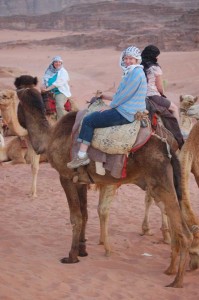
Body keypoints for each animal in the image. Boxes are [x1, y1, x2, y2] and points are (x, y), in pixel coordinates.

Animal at [14, 74, 194, 288]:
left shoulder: (65, 177)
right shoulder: (80, 180)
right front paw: (82, 251)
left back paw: (177, 280)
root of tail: (169, 149)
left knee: (183, 232)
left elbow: (75, 217)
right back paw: (171, 270)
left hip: (162, 183)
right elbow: (84, 214)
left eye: (16, 103)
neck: (50, 137)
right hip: (163, 184)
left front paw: (71, 256)